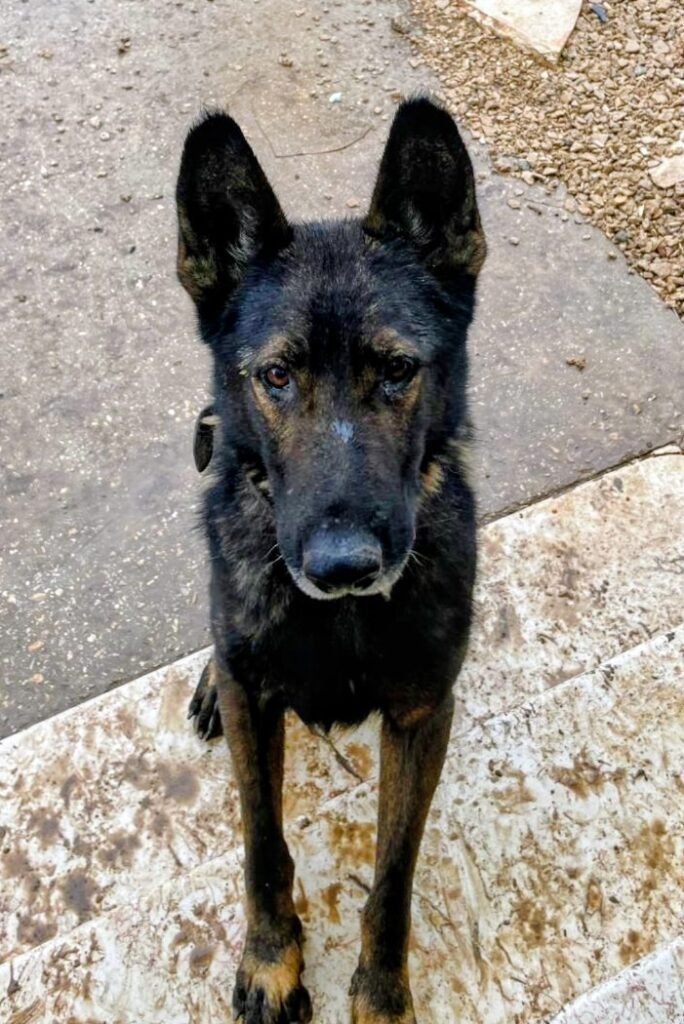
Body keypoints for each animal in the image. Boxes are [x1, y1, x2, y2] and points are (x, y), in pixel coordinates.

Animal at [176, 97, 485, 1024]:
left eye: (399, 370)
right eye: (276, 375)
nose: (345, 565)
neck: (342, 620)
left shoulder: (421, 714)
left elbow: (393, 877)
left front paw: (381, 995)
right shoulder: (257, 705)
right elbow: (261, 843)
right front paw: (273, 960)